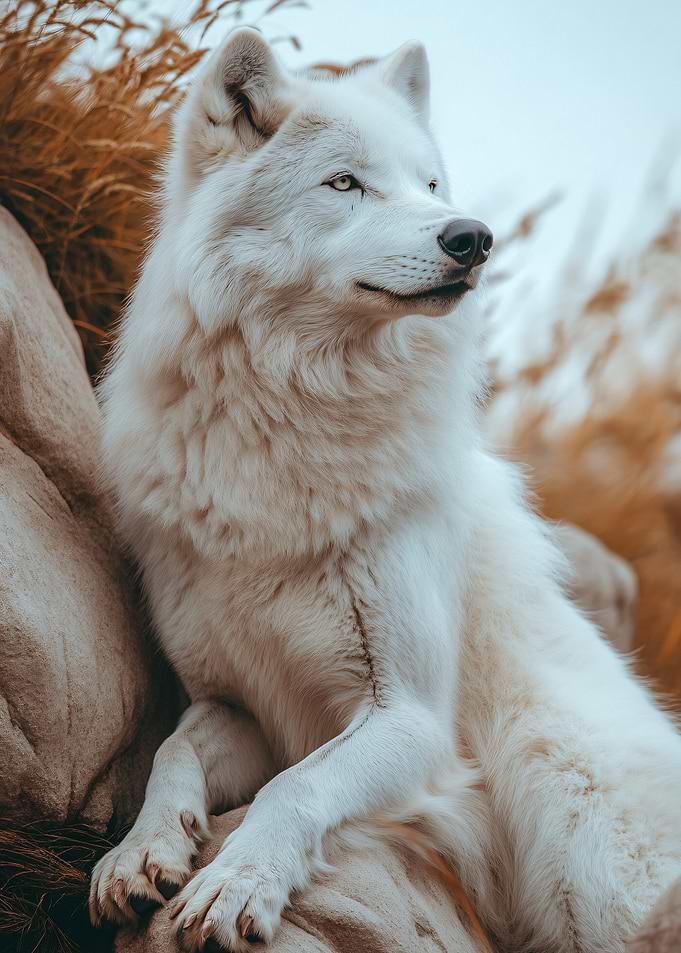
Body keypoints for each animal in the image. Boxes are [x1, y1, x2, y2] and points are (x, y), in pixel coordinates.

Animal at [89, 27, 681, 953]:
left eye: (429, 185)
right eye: (344, 183)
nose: (472, 236)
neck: (289, 426)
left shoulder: (408, 717)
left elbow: (293, 787)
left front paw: (235, 884)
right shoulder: (236, 704)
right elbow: (170, 755)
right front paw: (141, 853)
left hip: (561, 791)